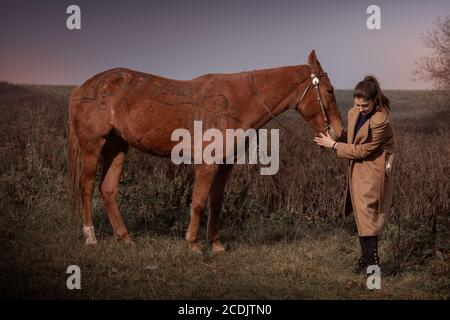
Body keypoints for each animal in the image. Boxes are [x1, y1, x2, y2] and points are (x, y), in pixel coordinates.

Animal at [67, 50, 342, 254]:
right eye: (329, 90)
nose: (339, 131)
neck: (239, 102)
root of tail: (82, 88)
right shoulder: (207, 164)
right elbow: (198, 202)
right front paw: (193, 245)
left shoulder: (226, 164)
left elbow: (216, 202)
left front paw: (216, 244)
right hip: (93, 147)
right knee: (86, 186)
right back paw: (90, 236)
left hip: (117, 147)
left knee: (108, 189)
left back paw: (125, 238)